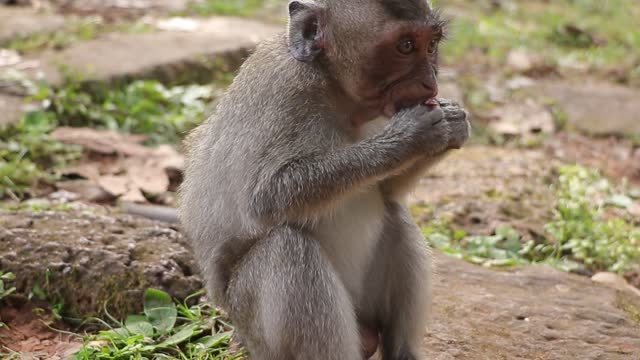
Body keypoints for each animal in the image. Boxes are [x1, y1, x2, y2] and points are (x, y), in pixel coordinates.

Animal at [180, 1, 470, 358]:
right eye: (405, 47)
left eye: (431, 45)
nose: (431, 84)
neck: (336, 90)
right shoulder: (283, 89)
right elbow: (265, 198)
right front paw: (408, 137)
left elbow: (387, 189)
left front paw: (453, 122)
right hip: (253, 326)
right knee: (288, 247)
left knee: (396, 216)